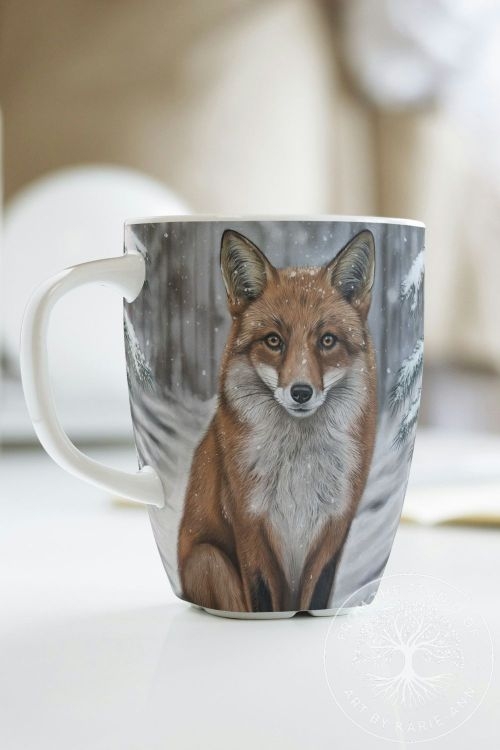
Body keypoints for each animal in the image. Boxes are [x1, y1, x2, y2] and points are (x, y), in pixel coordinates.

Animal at [178, 228, 377, 613]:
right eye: (273, 340)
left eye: (327, 340)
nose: (300, 392)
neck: (300, 469)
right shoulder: (249, 525)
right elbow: (263, 599)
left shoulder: (334, 529)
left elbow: (316, 597)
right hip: (208, 559)